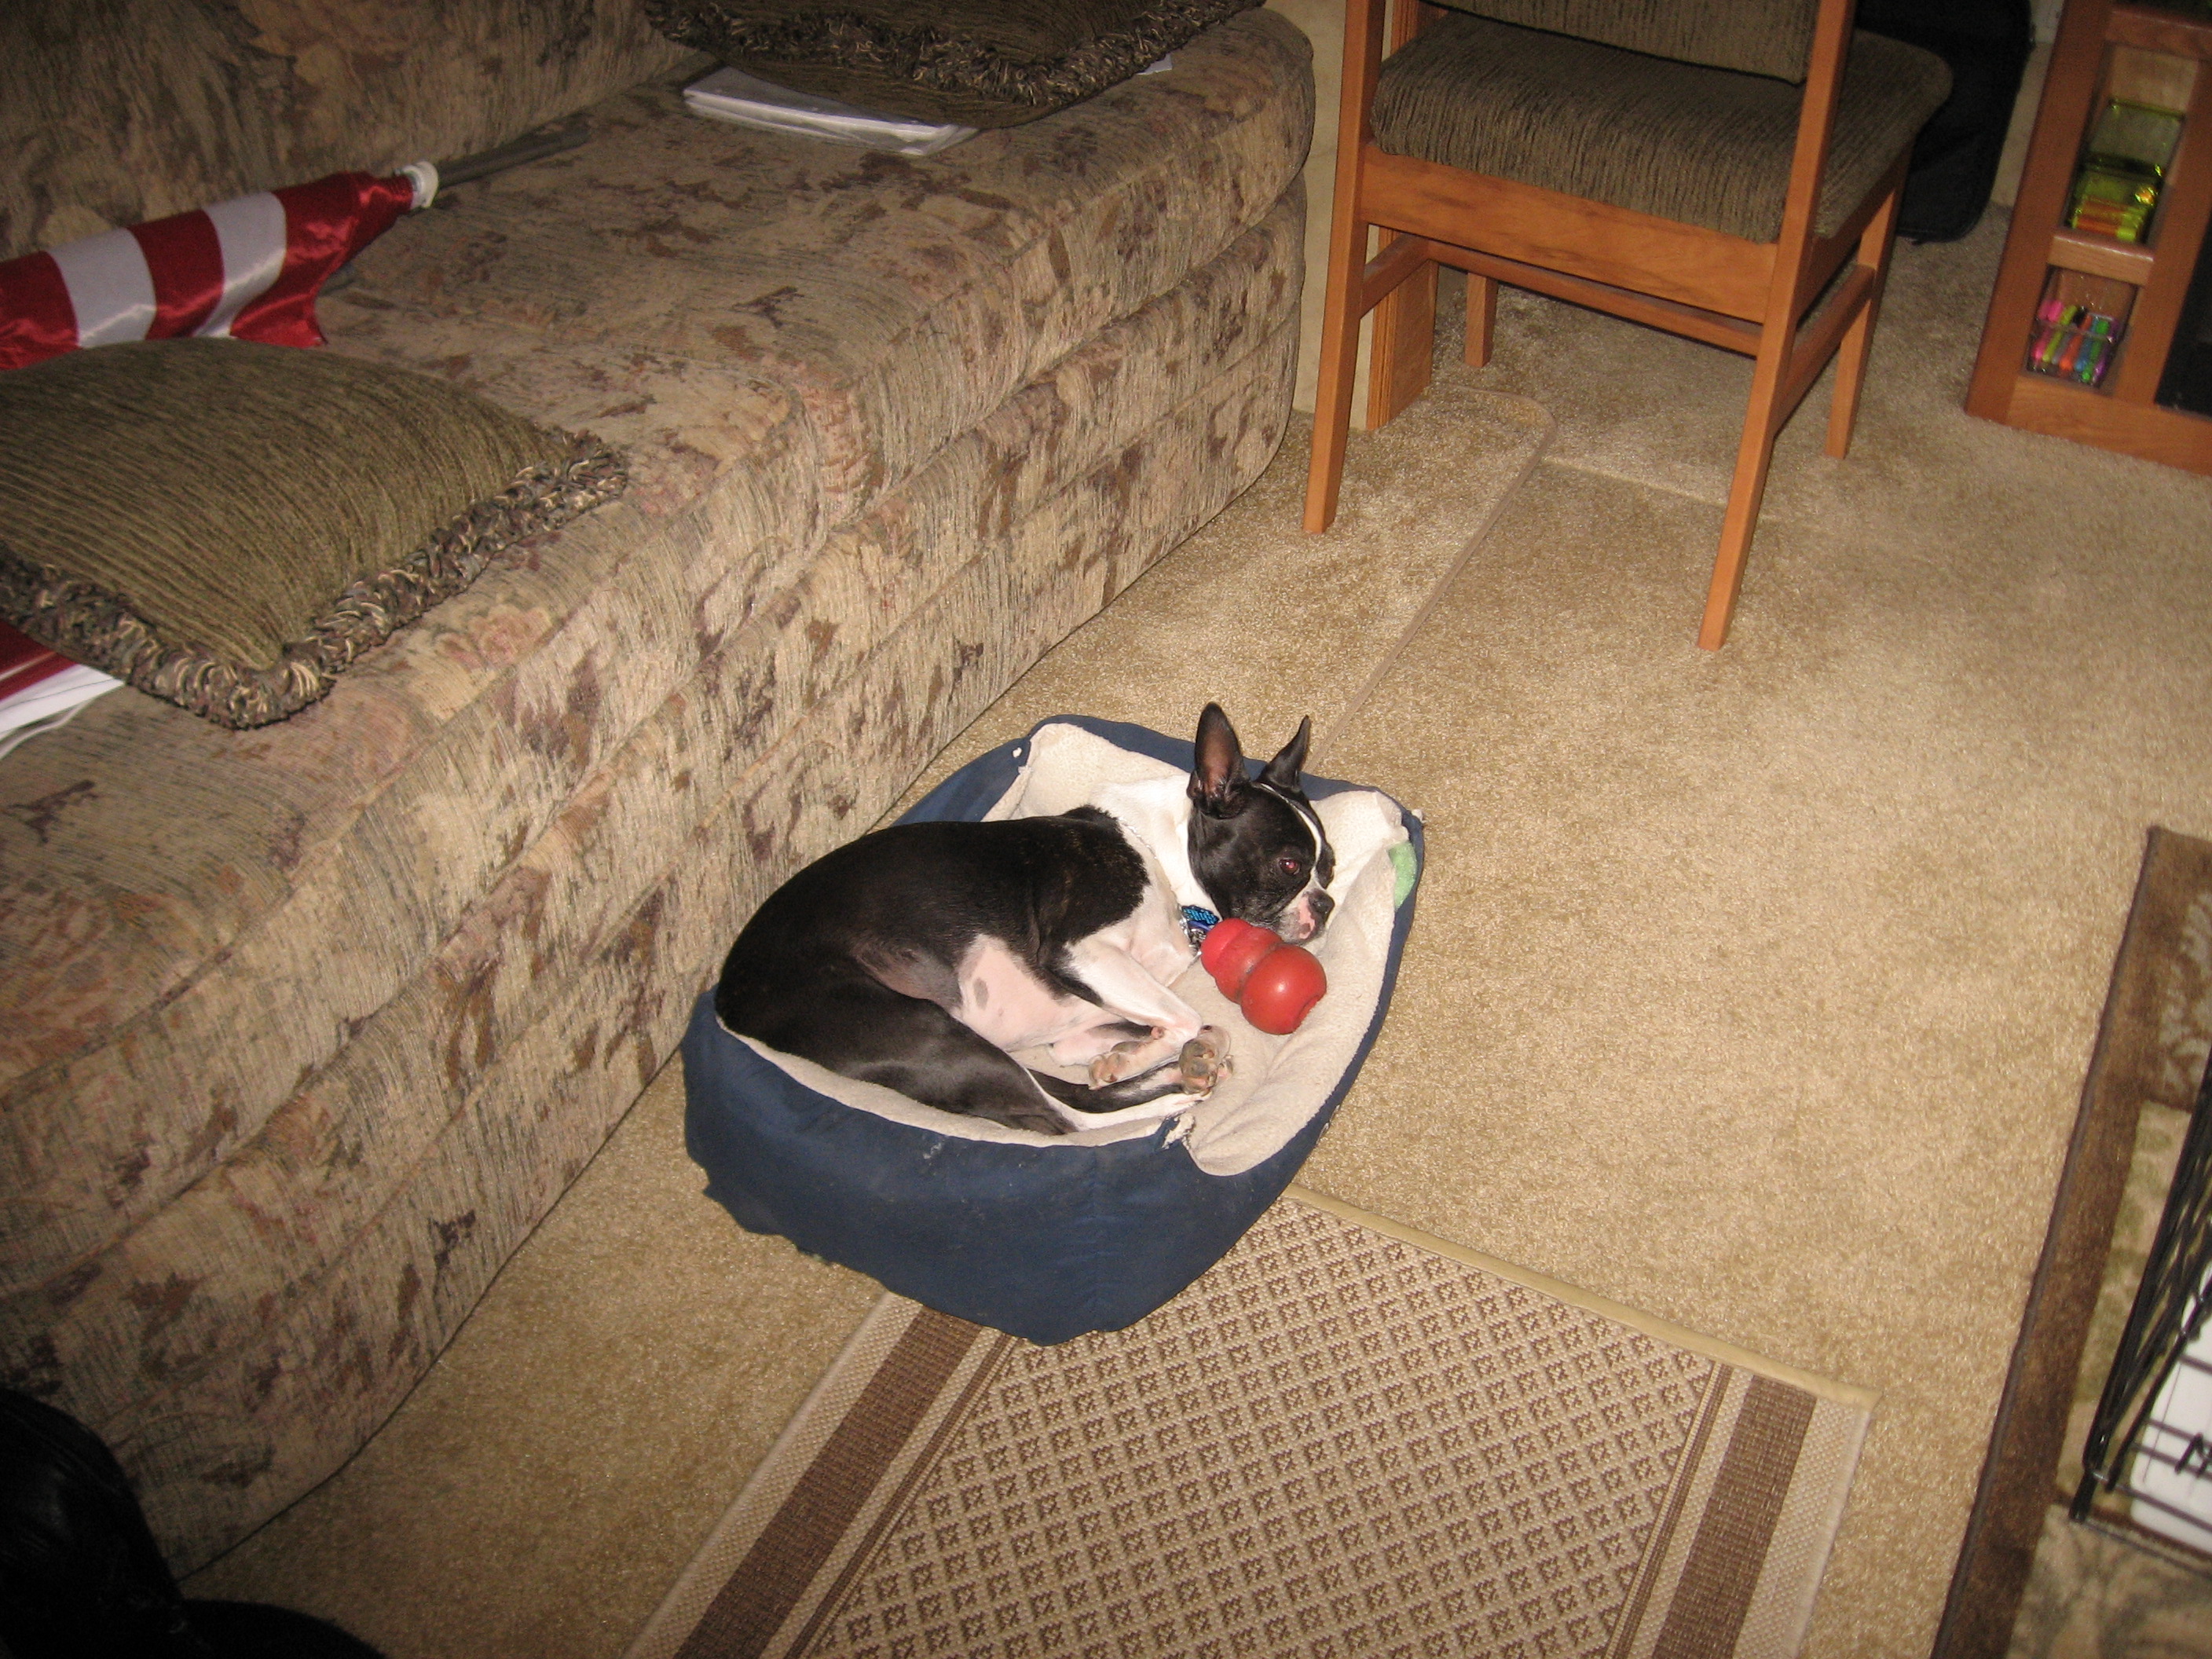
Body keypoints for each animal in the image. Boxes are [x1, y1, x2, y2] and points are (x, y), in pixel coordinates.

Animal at [714, 704, 1336, 1134]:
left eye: (1328, 868)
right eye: (1289, 865)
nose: (1325, 905)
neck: (1156, 851)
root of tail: (728, 996)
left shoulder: (1081, 1022)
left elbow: (1180, 1028)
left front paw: (1132, 1057)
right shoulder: (1079, 952)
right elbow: (1183, 1018)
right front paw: (1137, 1056)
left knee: (1072, 1095)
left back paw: (1187, 1072)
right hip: (925, 1031)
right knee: (1065, 1118)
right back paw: (1176, 1097)